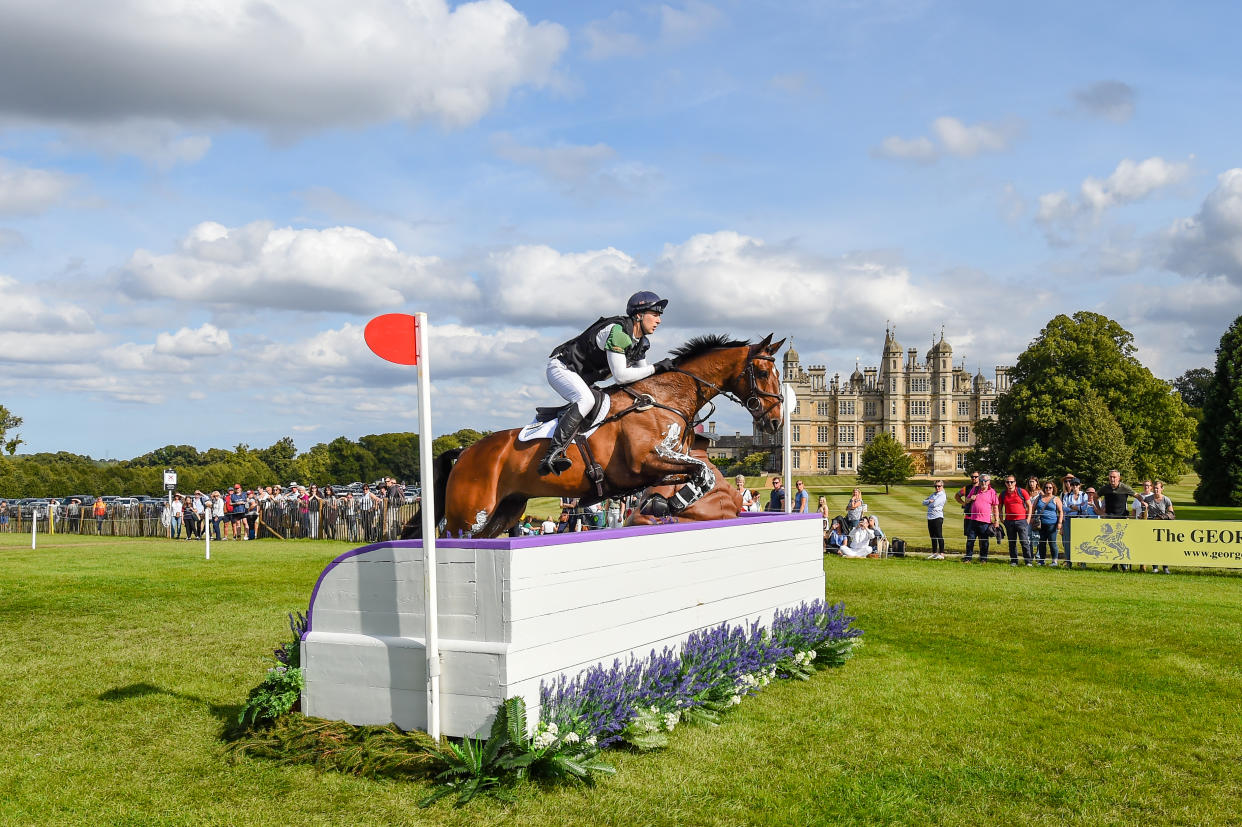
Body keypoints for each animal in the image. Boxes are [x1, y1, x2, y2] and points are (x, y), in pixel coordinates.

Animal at [402, 332, 779, 538]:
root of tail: (465, 452)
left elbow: (700, 475)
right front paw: (665, 503)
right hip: (468, 516)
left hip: (504, 512)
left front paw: (664, 503)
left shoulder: (664, 463)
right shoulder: (645, 462)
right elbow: (702, 472)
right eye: (762, 372)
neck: (663, 397)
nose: (775, 421)